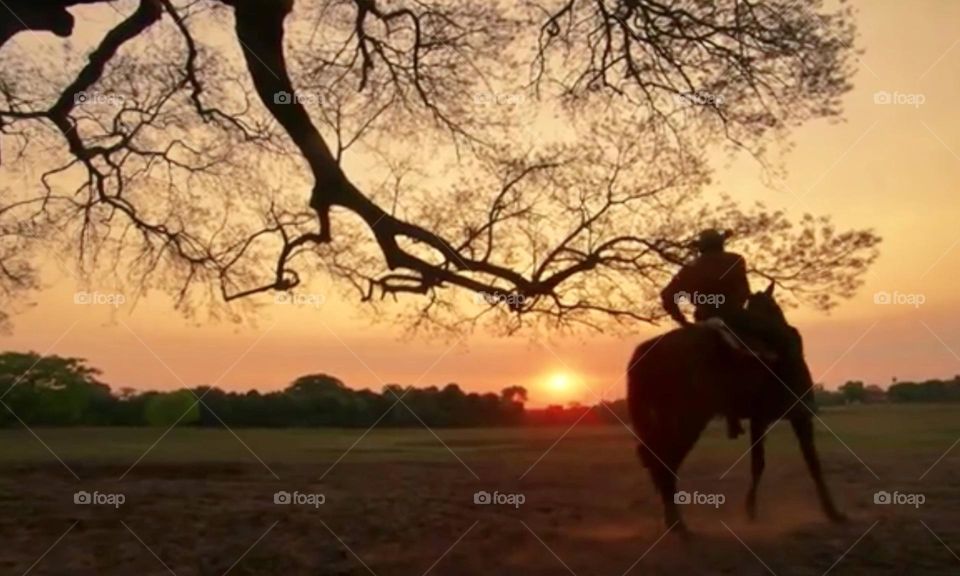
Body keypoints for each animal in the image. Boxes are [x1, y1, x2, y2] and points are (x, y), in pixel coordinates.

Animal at [628, 284, 844, 536]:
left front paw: (751, 512)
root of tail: (646, 351)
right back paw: (679, 526)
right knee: (666, 462)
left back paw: (674, 523)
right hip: (687, 421)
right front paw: (833, 512)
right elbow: (808, 463)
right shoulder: (797, 417)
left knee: (656, 460)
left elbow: (762, 464)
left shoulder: (761, 420)